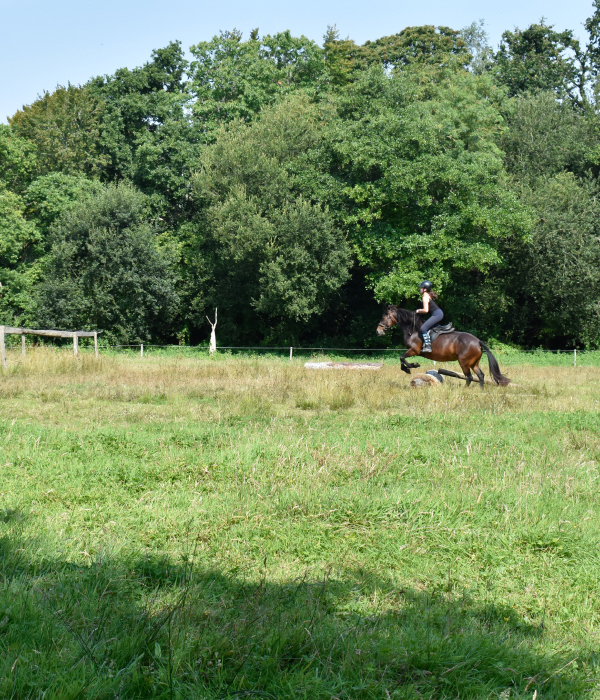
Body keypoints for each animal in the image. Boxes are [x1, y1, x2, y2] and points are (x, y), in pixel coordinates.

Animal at [376, 304, 510, 388]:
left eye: (384, 317)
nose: (378, 331)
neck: (413, 329)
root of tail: (477, 341)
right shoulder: (412, 350)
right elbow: (401, 359)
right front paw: (409, 367)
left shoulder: (414, 350)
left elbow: (402, 358)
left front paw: (412, 366)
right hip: (473, 363)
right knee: (480, 375)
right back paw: (481, 389)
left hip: (464, 362)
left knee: (469, 377)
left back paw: (465, 390)